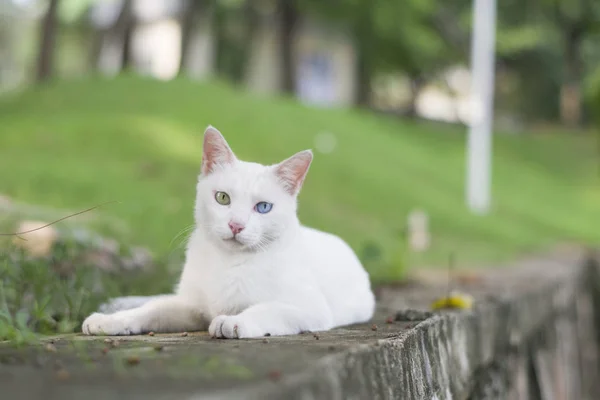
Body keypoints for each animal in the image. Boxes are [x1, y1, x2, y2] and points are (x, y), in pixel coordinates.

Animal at [82, 126, 376, 340]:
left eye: (263, 207)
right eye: (222, 198)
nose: (236, 225)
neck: (228, 261)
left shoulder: (310, 307)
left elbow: (267, 308)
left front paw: (234, 321)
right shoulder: (191, 306)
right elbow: (152, 309)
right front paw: (110, 321)